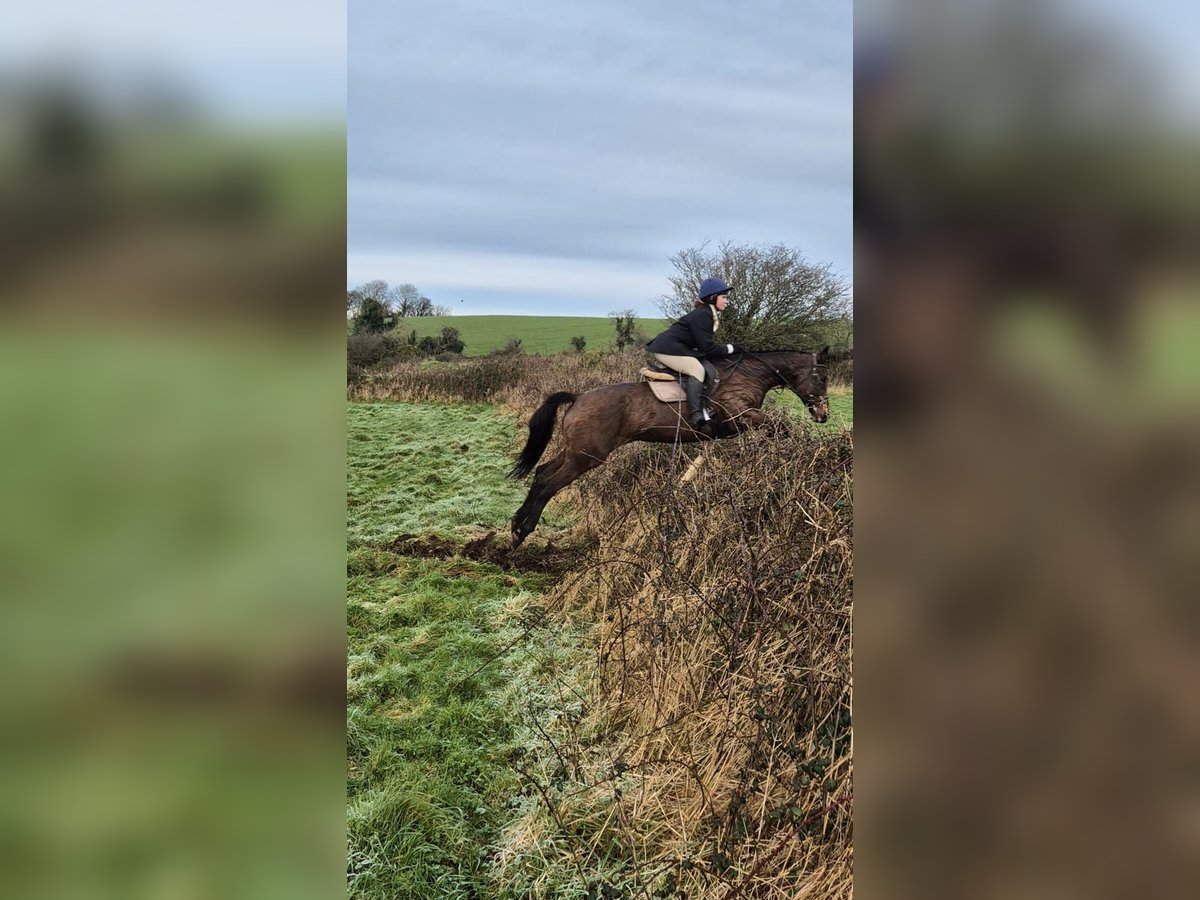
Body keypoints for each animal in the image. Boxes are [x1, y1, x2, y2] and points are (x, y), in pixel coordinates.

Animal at [508, 348, 835, 547]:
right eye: (821, 377)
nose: (823, 414)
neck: (751, 375)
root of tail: (578, 398)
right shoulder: (739, 417)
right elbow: (779, 426)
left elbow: (775, 427)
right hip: (587, 457)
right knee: (549, 484)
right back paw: (523, 531)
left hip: (575, 451)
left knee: (541, 473)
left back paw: (516, 524)